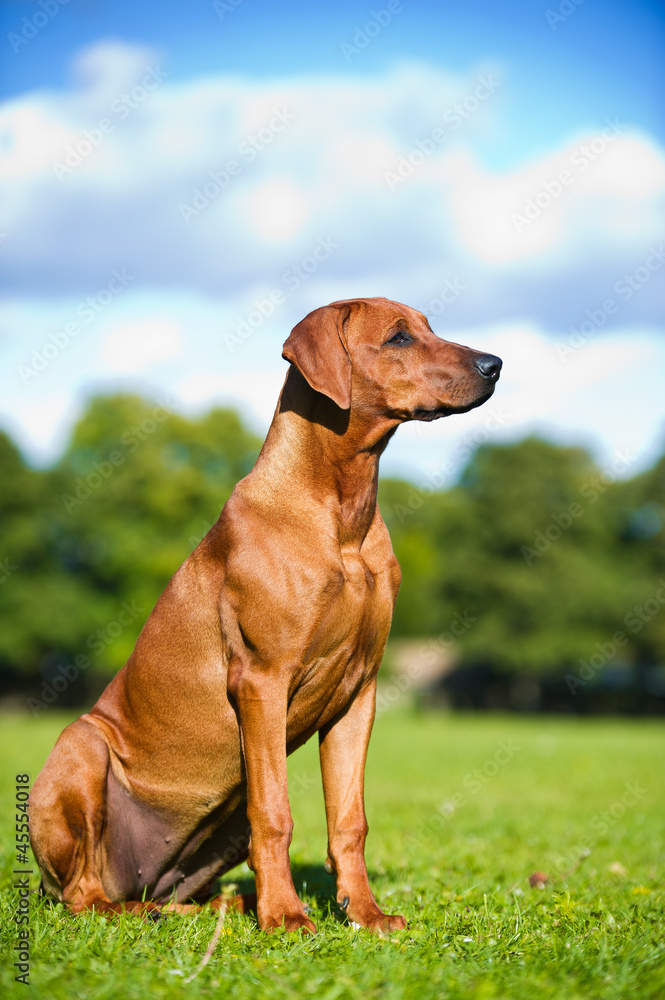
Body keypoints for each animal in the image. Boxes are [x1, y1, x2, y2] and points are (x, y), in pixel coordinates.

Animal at [29, 292, 498, 932]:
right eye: (399, 337)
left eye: (430, 327)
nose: (495, 364)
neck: (341, 512)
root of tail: (137, 879)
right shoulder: (261, 680)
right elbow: (275, 813)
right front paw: (286, 916)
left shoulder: (360, 692)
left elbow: (350, 820)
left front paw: (365, 913)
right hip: (83, 746)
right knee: (84, 897)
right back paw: (149, 908)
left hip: (211, 831)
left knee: (182, 894)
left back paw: (220, 907)